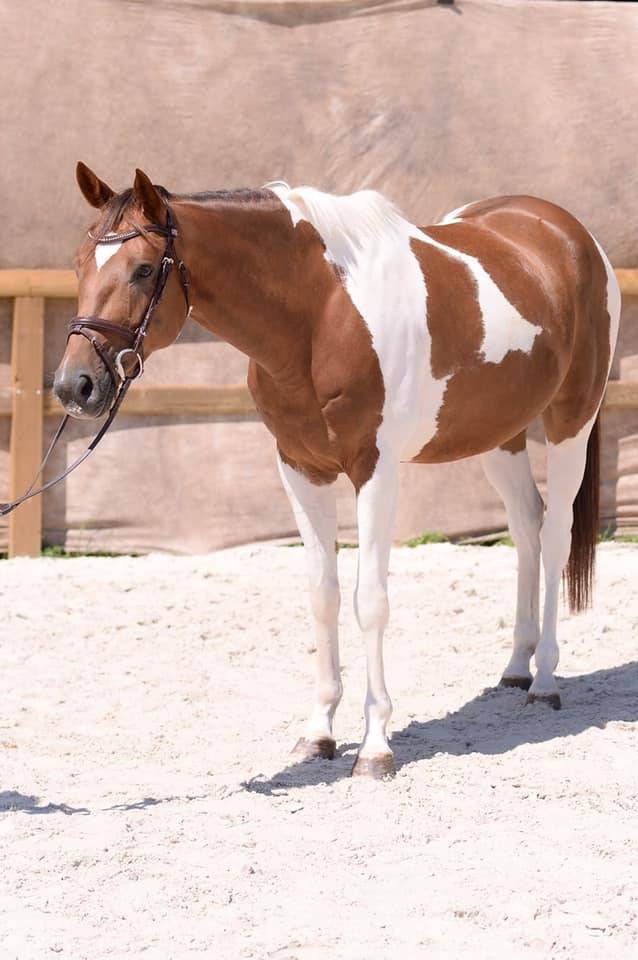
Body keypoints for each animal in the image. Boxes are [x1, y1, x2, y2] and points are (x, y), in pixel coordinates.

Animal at [53, 163, 620, 779]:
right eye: (79, 264)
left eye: (141, 269)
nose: (74, 386)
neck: (321, 314)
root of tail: (566, 231)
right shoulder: (301, 468)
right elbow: (322, 594)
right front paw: (318, 733)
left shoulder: (376, 470)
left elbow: (369, 599)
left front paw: (375, 747)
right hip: (499, 435)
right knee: (525, 527)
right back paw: (517, 666)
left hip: (570, 420)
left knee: (556, 534)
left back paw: (544, 680)